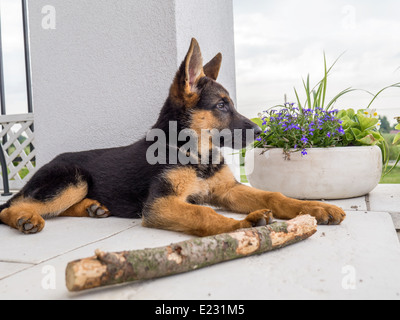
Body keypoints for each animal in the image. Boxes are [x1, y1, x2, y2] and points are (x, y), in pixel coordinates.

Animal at [0, 39, 344, 235]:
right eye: (221, 105)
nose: (261, 133)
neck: (197, 154)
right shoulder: (161, 204)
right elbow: (204, 213)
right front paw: (243, 225)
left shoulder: (227, 190)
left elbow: (274, 195)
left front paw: (315, 208)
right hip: (73, 178)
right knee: (10, 207)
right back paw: (26, 218)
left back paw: (92, 208)